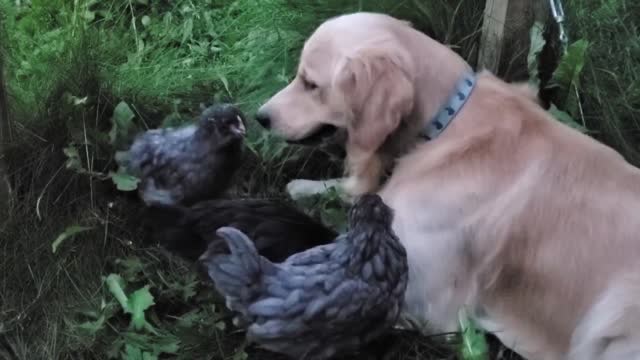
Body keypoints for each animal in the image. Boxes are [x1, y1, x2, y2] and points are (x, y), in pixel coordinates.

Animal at [255, 11, 640, 360]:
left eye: (310, 84)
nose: (260, 117)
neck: (446, 123)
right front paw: (305, 188)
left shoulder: (427, 303)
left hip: (613, 312)